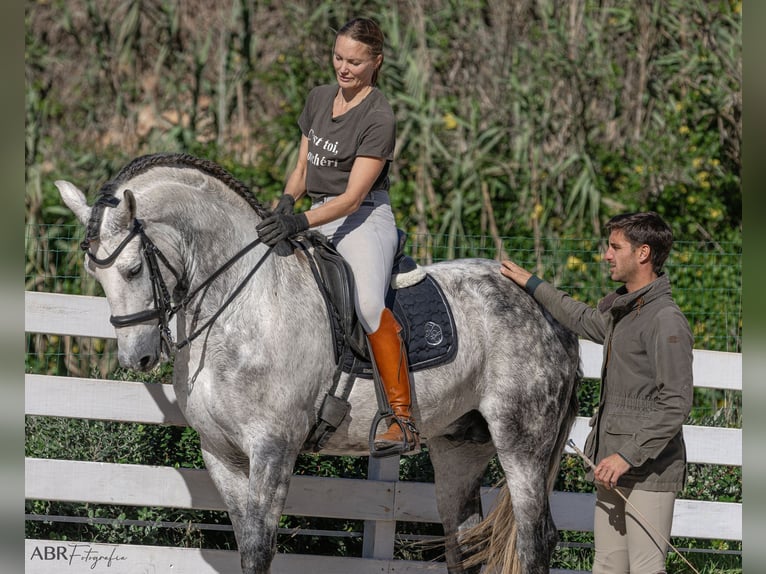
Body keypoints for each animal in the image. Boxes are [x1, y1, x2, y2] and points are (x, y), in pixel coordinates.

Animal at [55, 154, 584, 574]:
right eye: (94, 274)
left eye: (132, 270)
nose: (137, 357)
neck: (241, 306)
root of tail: (544, 306)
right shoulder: (220, 453)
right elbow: (243, 543)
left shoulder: (273, 448)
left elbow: (258, 549)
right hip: (460, 446)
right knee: (465, 542)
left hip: (522, 440)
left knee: (536, 539)